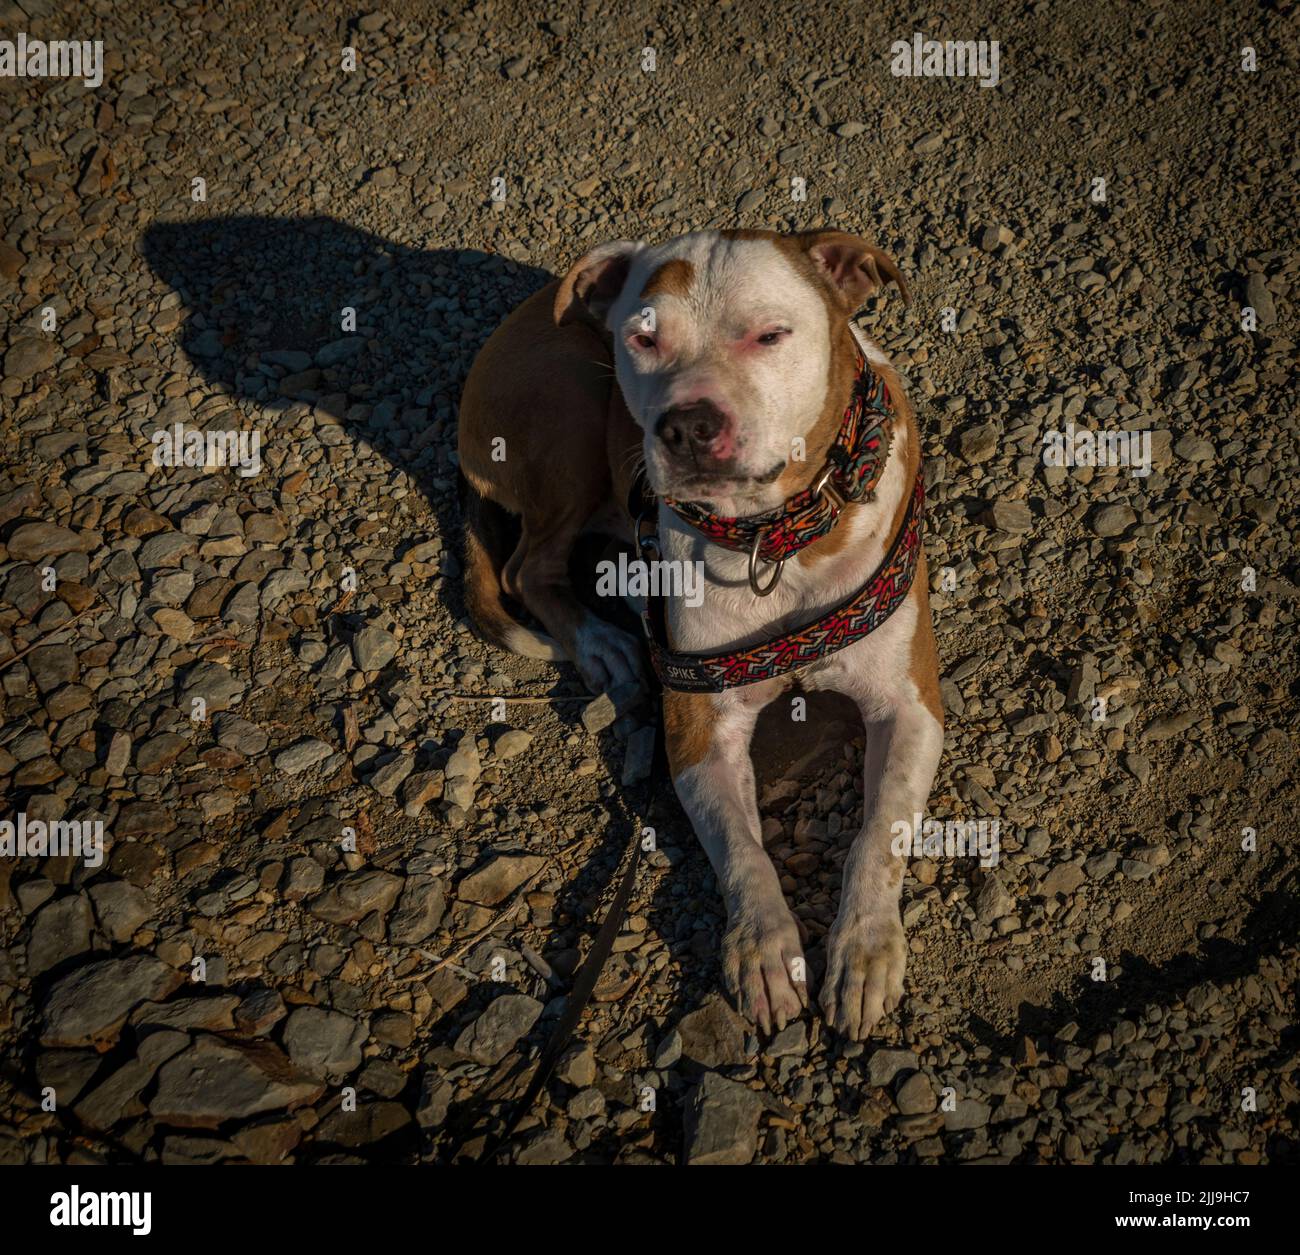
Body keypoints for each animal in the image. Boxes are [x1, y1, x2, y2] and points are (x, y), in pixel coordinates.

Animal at [460, 230, 946, 1045]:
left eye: (771, 335)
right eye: (642, 338)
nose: (686, 425)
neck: (775, 537)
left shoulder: (909, 706)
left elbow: (880, 832)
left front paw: (865, 948)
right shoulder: (696, 722)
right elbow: (742, 850)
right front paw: (763, 948)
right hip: (570, 400)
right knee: (531, 564)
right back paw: (604, 641)